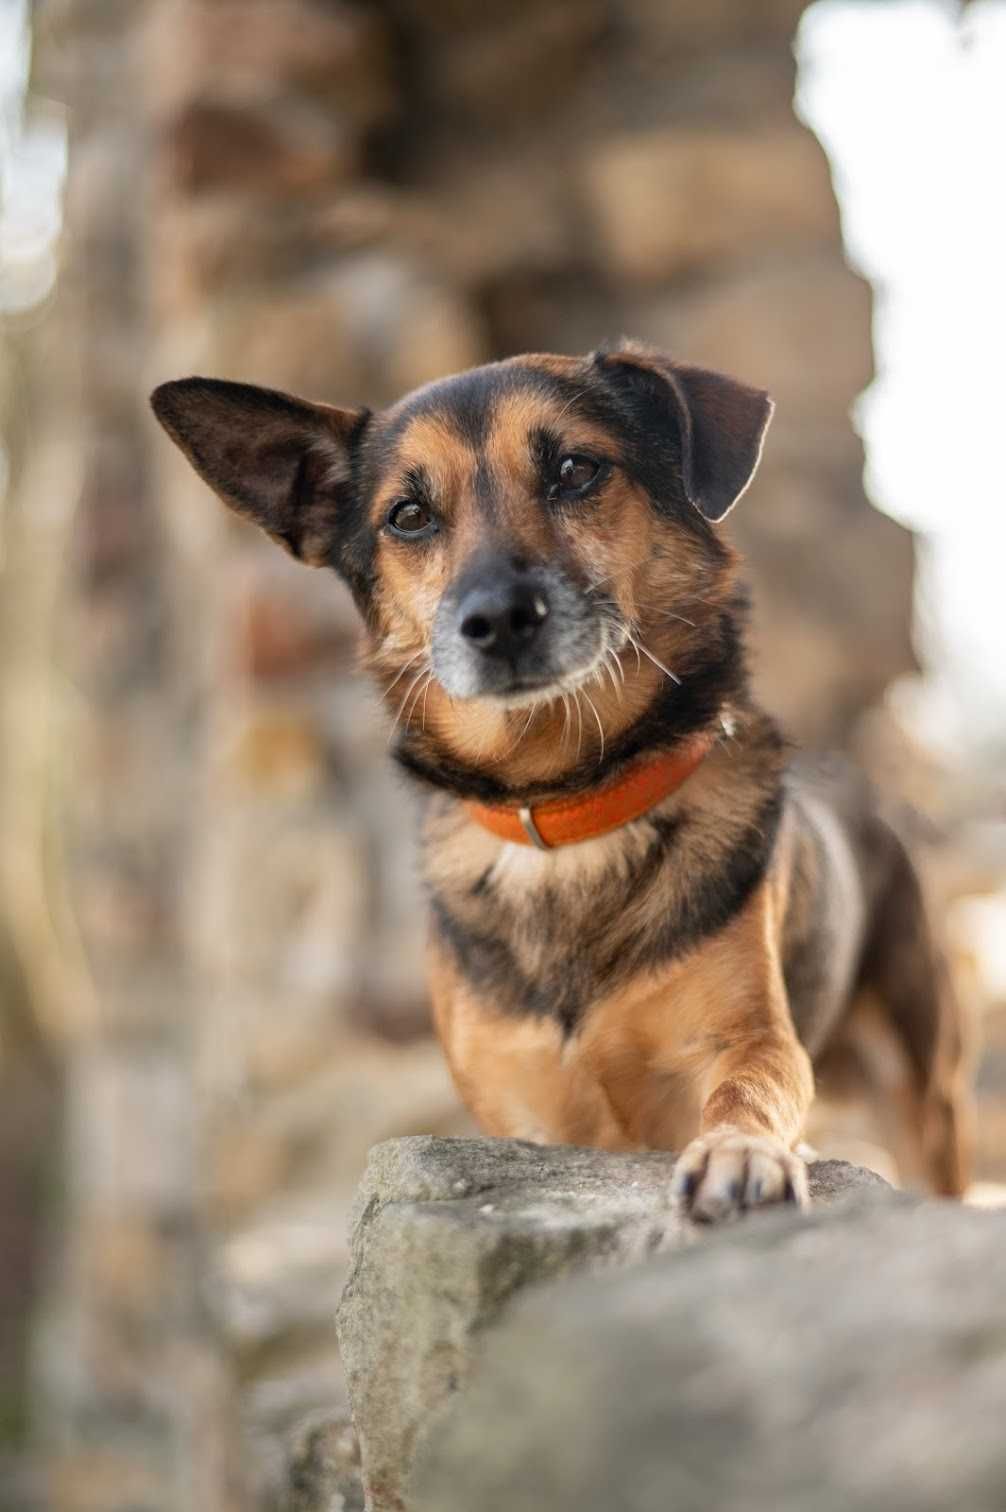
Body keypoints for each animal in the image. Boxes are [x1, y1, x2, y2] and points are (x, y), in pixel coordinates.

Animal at [151, 340, 974, 1215]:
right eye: (408, 516)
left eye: (576, 470)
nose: (498, 618)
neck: (567, 804)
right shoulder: (520, 1111)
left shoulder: (752, 1037)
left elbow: (749, 1088)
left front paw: (738, 1149)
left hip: (926, 1091)